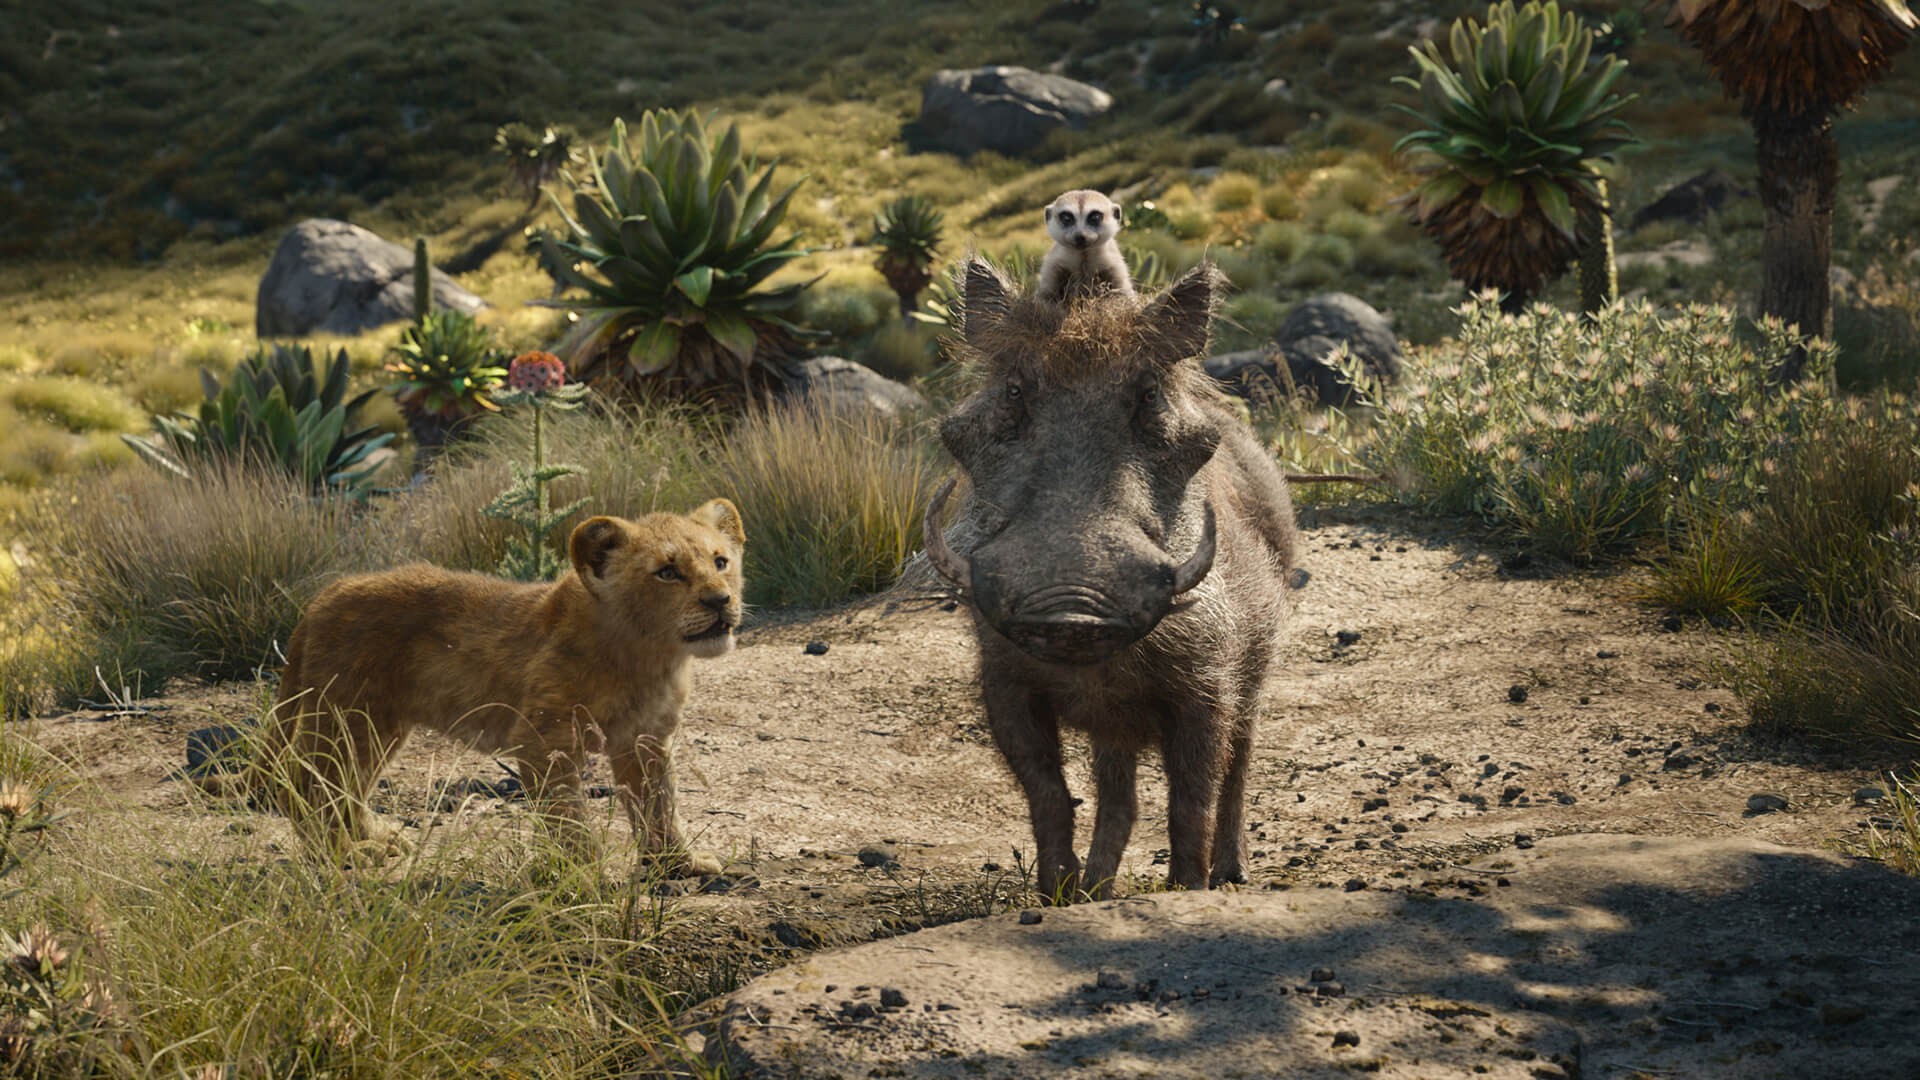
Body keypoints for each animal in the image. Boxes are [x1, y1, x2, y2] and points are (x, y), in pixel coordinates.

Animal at [205, 500, 746, 876]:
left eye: (720, 562)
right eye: (668, 572)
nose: (720, 601)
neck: (650, 655)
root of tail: (323, 596)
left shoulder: (646, 740)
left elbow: (659, 805)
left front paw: (676, 864)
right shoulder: (545, 740)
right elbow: (568, 817)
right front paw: (583, 876)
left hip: (377, 725)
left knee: (345, 787)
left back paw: (377, 837)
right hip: (346, 716)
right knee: (305, 785)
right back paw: (348, 853)